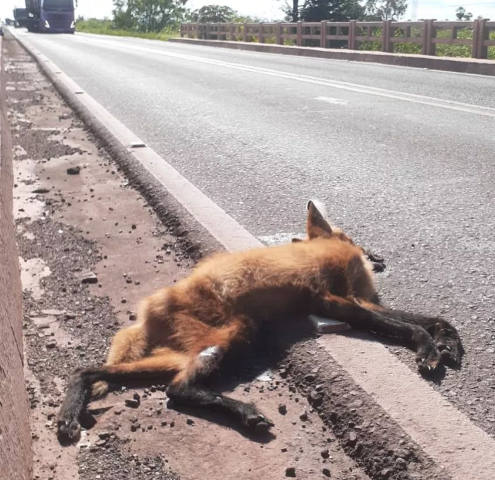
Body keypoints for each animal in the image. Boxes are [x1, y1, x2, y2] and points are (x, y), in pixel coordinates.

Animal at [58, 201, 464, 440]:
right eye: (353, 234)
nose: (379, 257)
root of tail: (148, 309)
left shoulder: (350, 301)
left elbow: (430, 318)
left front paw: (445, 340)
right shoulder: (337, 301)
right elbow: (410, 325)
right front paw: (429, 350)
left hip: (182, 352)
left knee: (89, 371)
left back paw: (69, 411)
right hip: (228, 336)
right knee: (177, 390)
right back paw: (245, 412)